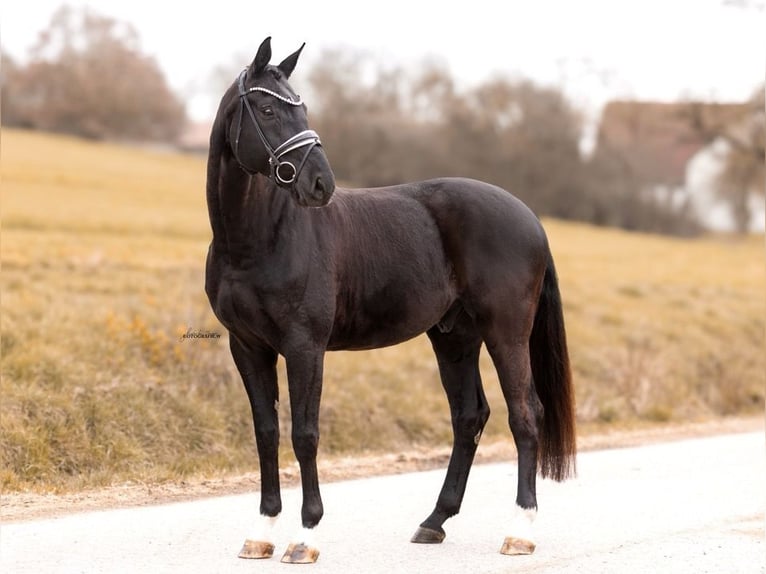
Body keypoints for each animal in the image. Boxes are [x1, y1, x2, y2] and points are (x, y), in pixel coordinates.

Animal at [205, 37, 576, 564]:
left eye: (302, 108)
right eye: (267, 108)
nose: (320, 184)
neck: (256, 241)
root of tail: (530, 218)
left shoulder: (304, 346)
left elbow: (304, 434)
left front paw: (306, 535)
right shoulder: (248, 347)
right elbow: (267, 432)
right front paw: (262, 532)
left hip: (506, 333)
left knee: (526, 414)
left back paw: (519, 530)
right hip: (454, 338)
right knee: (469, 417)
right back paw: (434, 521)